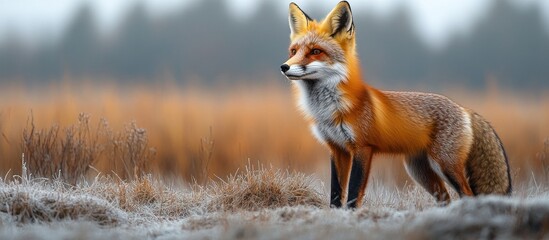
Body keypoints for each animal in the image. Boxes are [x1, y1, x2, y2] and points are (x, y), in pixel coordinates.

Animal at [280, 1, 512, 208]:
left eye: (315, 51)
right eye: (294, 51)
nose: (284, 67)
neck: (331, 109)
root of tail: (464, 109)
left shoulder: (362, 148)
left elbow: (354, 193)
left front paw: (351, 215)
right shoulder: (337, 149)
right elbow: (336, 194)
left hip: (445, 165)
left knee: (468, 194)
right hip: (419, 171)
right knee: (445, 198)